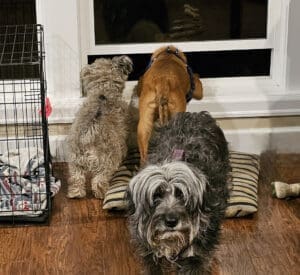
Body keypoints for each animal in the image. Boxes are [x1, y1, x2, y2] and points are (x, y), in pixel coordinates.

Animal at [68, 55, 134, 199]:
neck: (102, 91)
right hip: (108, 160)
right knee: (99, 180)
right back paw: (102, 193)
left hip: (75, 162)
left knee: (77, 178)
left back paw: (75, 193)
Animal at [126, 111, 230, 274]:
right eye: (156, 195)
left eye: (181, 194)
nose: (171, 221)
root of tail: (196, 114)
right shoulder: (148, 253)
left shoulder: (197, 256)